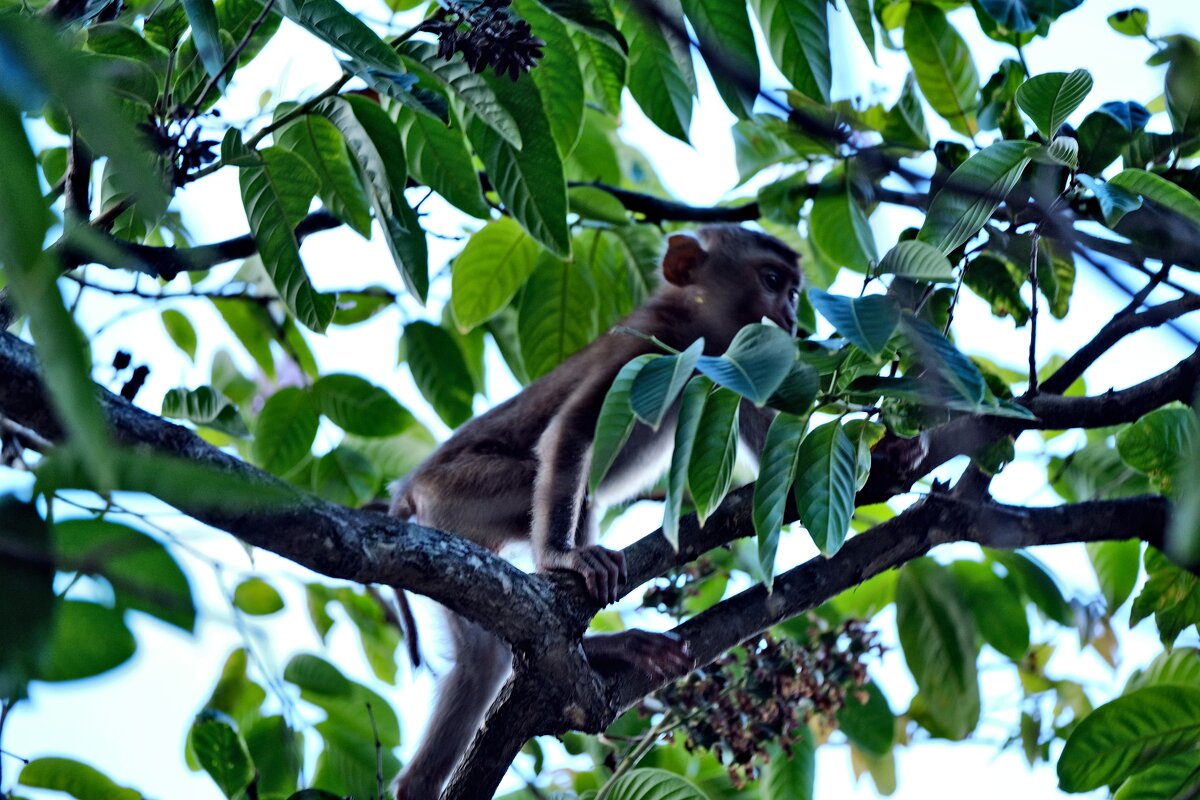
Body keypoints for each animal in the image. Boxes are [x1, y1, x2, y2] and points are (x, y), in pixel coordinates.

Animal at [388, 221, 801, 796]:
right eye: (772, 280)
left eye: (794, 290)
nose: (793, 317)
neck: (695, 333)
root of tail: (409, 488)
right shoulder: (646, 346)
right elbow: (573, 429)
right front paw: (563, 558)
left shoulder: (731, 365)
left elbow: (770, 444)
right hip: (455, 491)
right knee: (565, 487)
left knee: (479, 661)